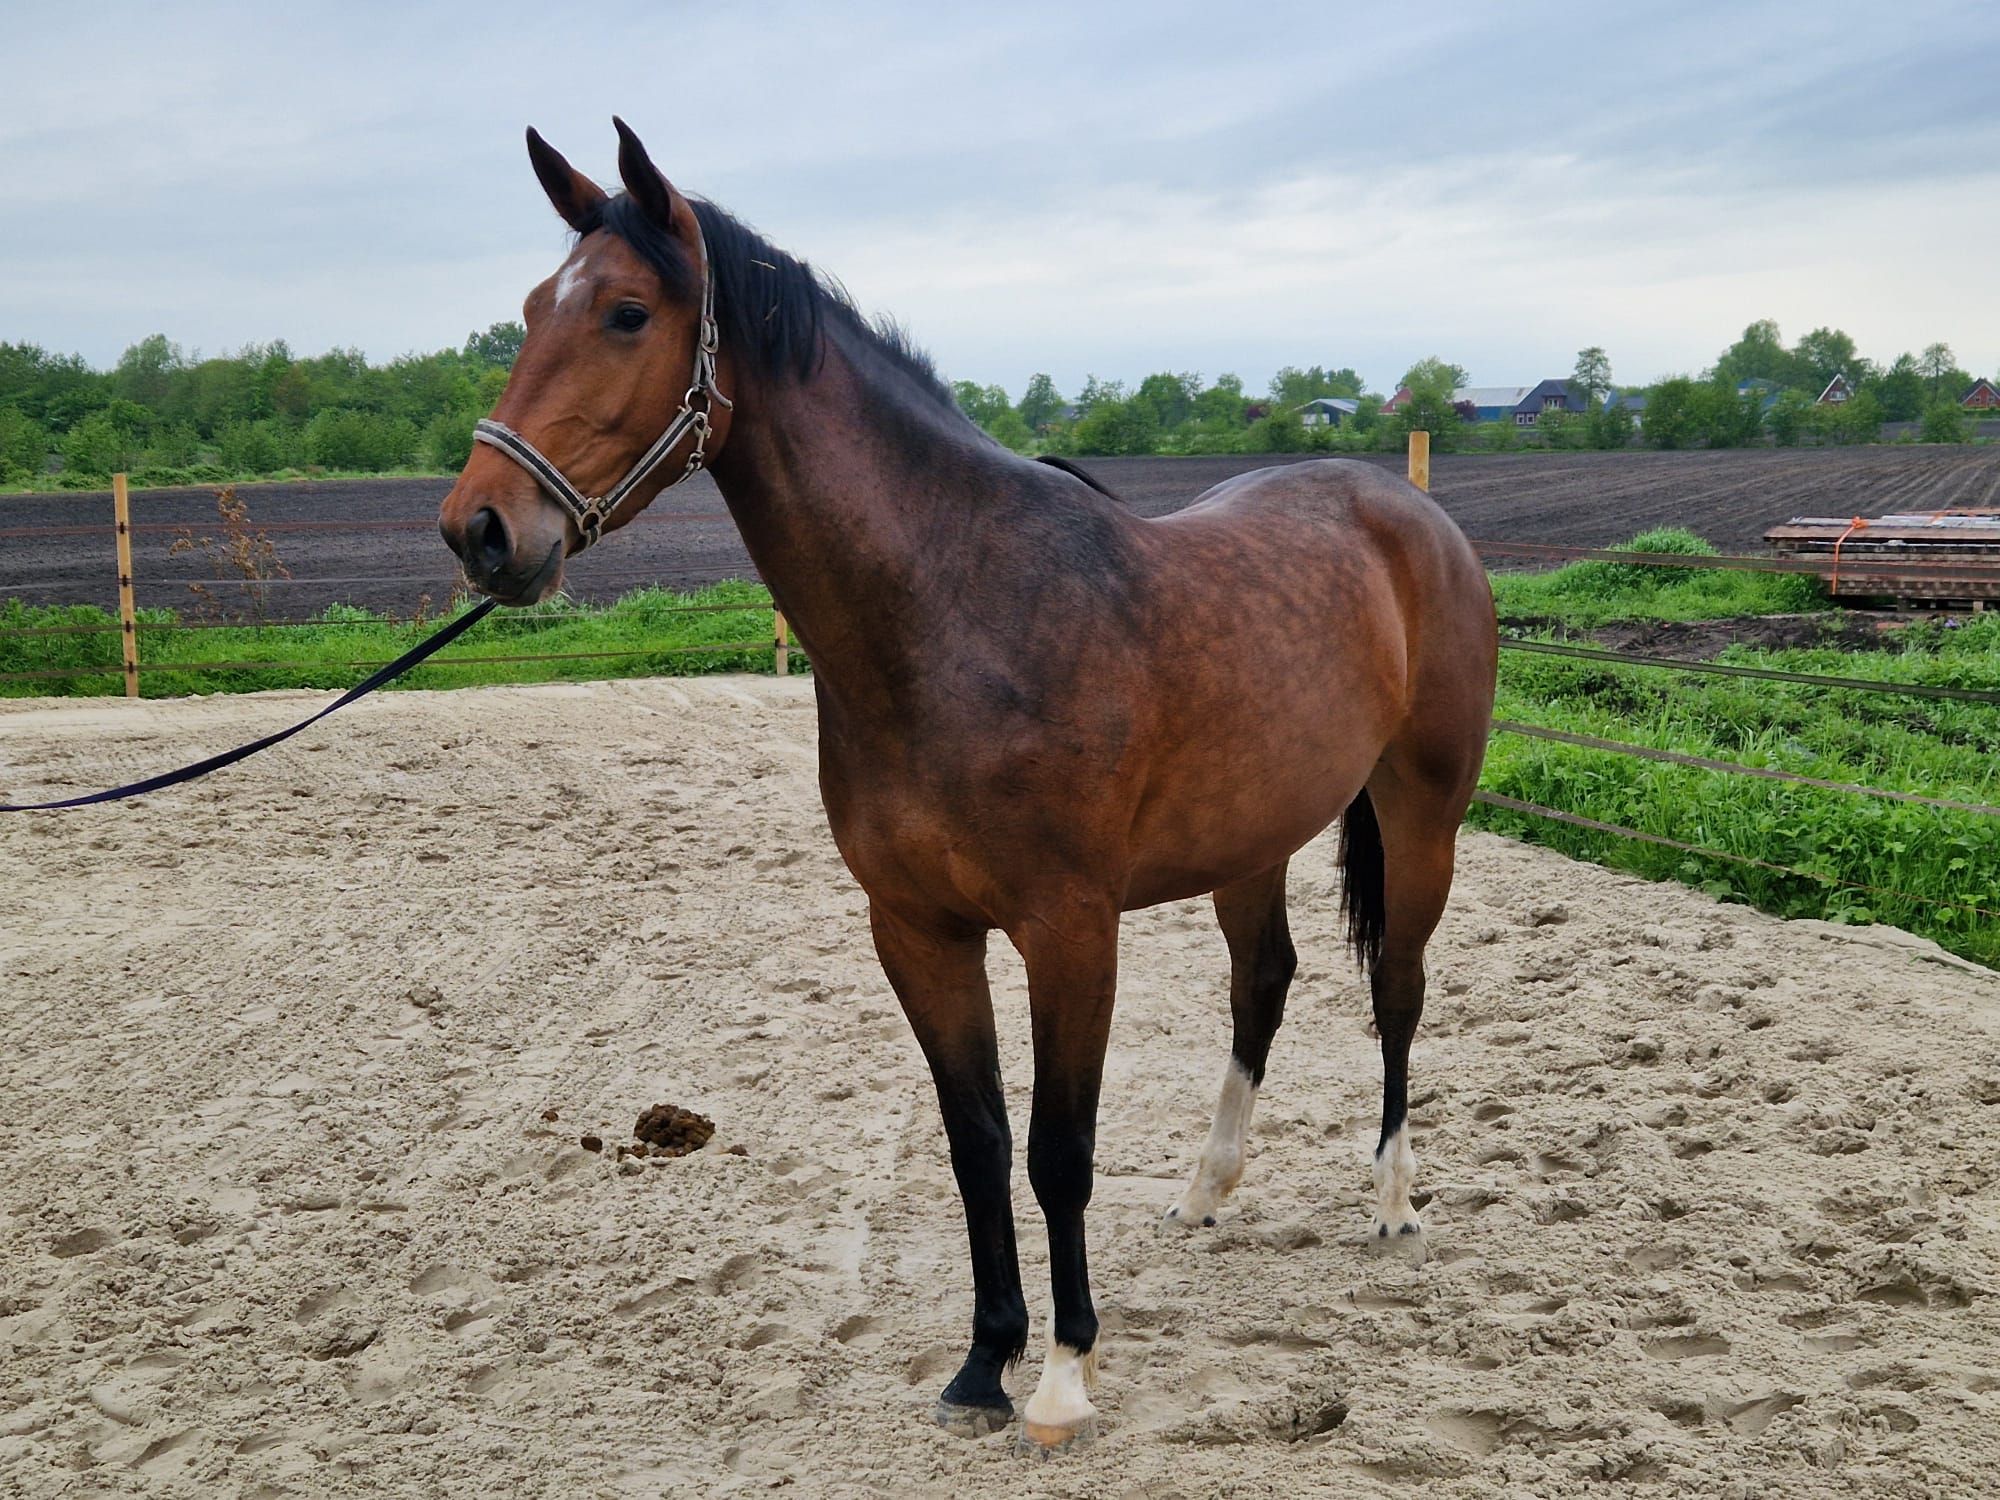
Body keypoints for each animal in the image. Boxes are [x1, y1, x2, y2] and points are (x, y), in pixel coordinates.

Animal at [439, 118, 1498, 1452]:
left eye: (627, 313)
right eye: (536, 307)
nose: (479, 528)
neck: (956, 612)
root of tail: (1407, 511)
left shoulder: (1069, 929)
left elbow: (1056, 1151)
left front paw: (1062, 1374)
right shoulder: (919, 930)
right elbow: (975, 1142)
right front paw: (981, 1362)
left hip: (1421, 815)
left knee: (1397, 987)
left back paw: (1393, 1199)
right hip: (1249, 839)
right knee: (1262, 984)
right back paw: (1203, 1192)